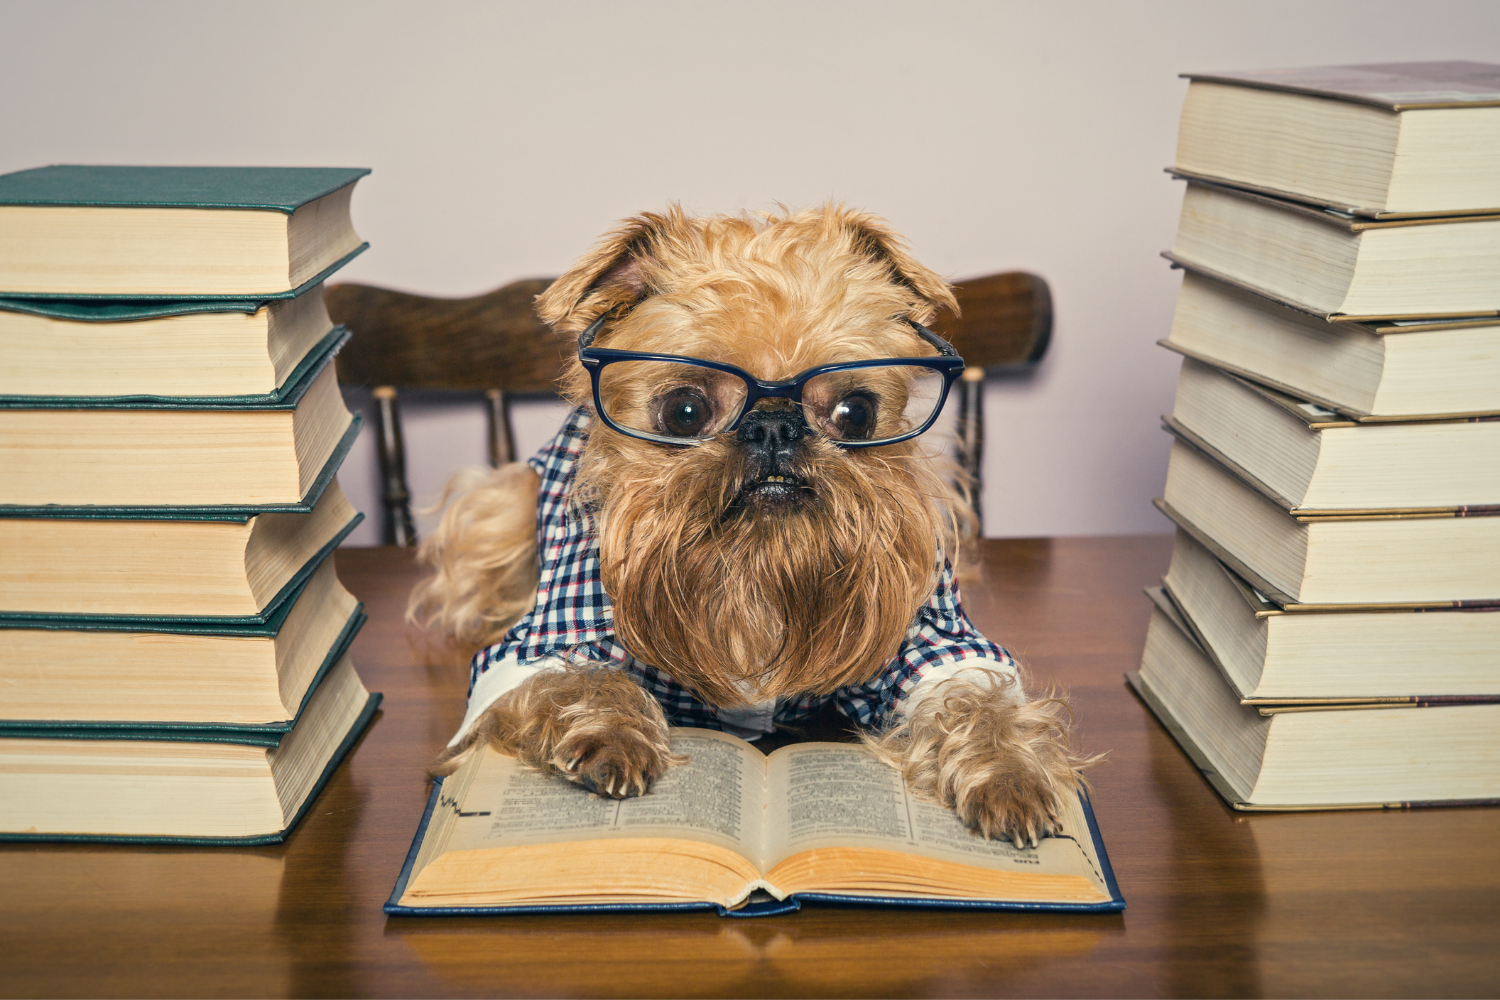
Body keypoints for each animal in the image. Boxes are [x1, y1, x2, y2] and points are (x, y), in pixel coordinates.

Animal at [408, 206, 1092, 851]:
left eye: (856, 412)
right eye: (684, 411)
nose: (774, 425)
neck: (757, 567)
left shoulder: (932, 634)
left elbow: (975, 697)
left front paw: (1008, 772)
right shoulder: (537, 642)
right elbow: (577, 676)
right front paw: (611, 733)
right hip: (500, 511)